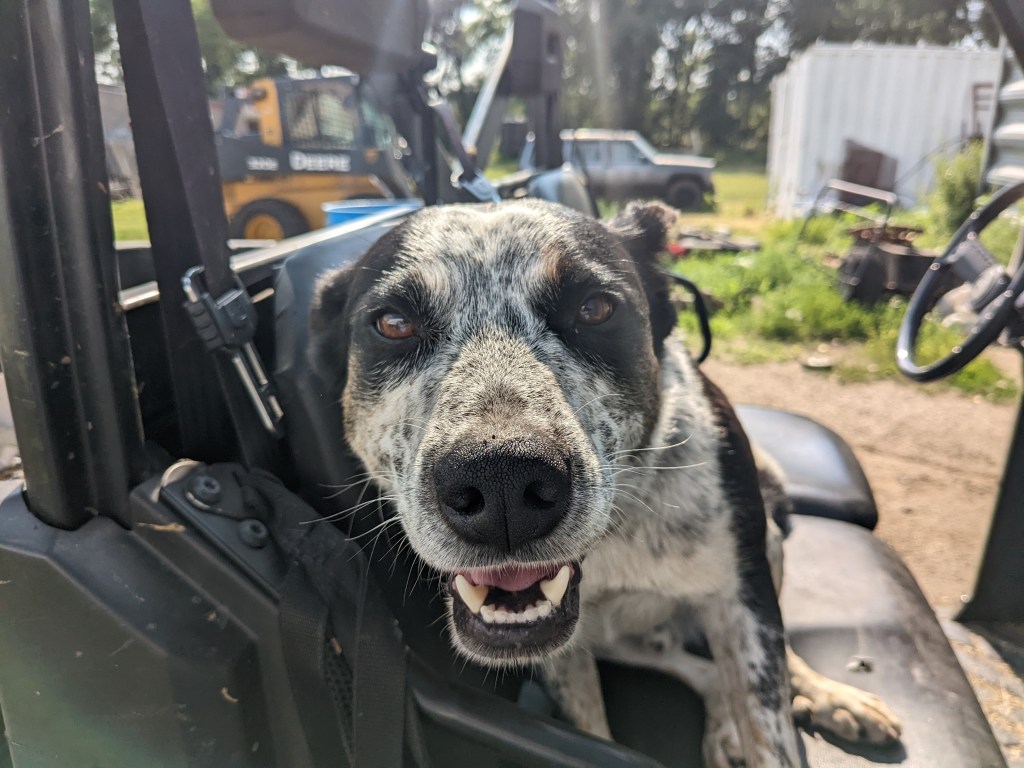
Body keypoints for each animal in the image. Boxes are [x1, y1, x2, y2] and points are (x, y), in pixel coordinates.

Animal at [310, 199, 901, 767]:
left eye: (595, 308)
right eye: (393, 323)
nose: (502, 482)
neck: (617, 536)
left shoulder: (742, 602)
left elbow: (770, 725)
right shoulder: (567, 656)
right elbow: (594, 726)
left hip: (766, 552)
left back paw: (829, 696)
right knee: (701, 670)